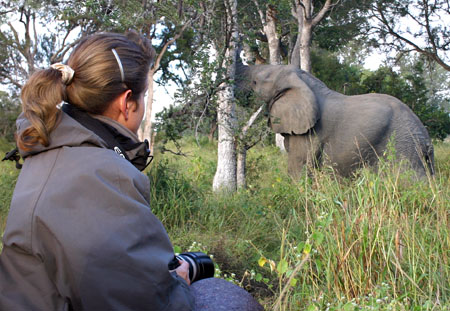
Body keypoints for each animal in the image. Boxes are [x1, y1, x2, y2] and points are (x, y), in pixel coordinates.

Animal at [237, 64, 434, 178]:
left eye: (255, 82)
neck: (304, 80)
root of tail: (425, 138)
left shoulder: (310, 135)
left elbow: (298, 169)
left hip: (402, 147)